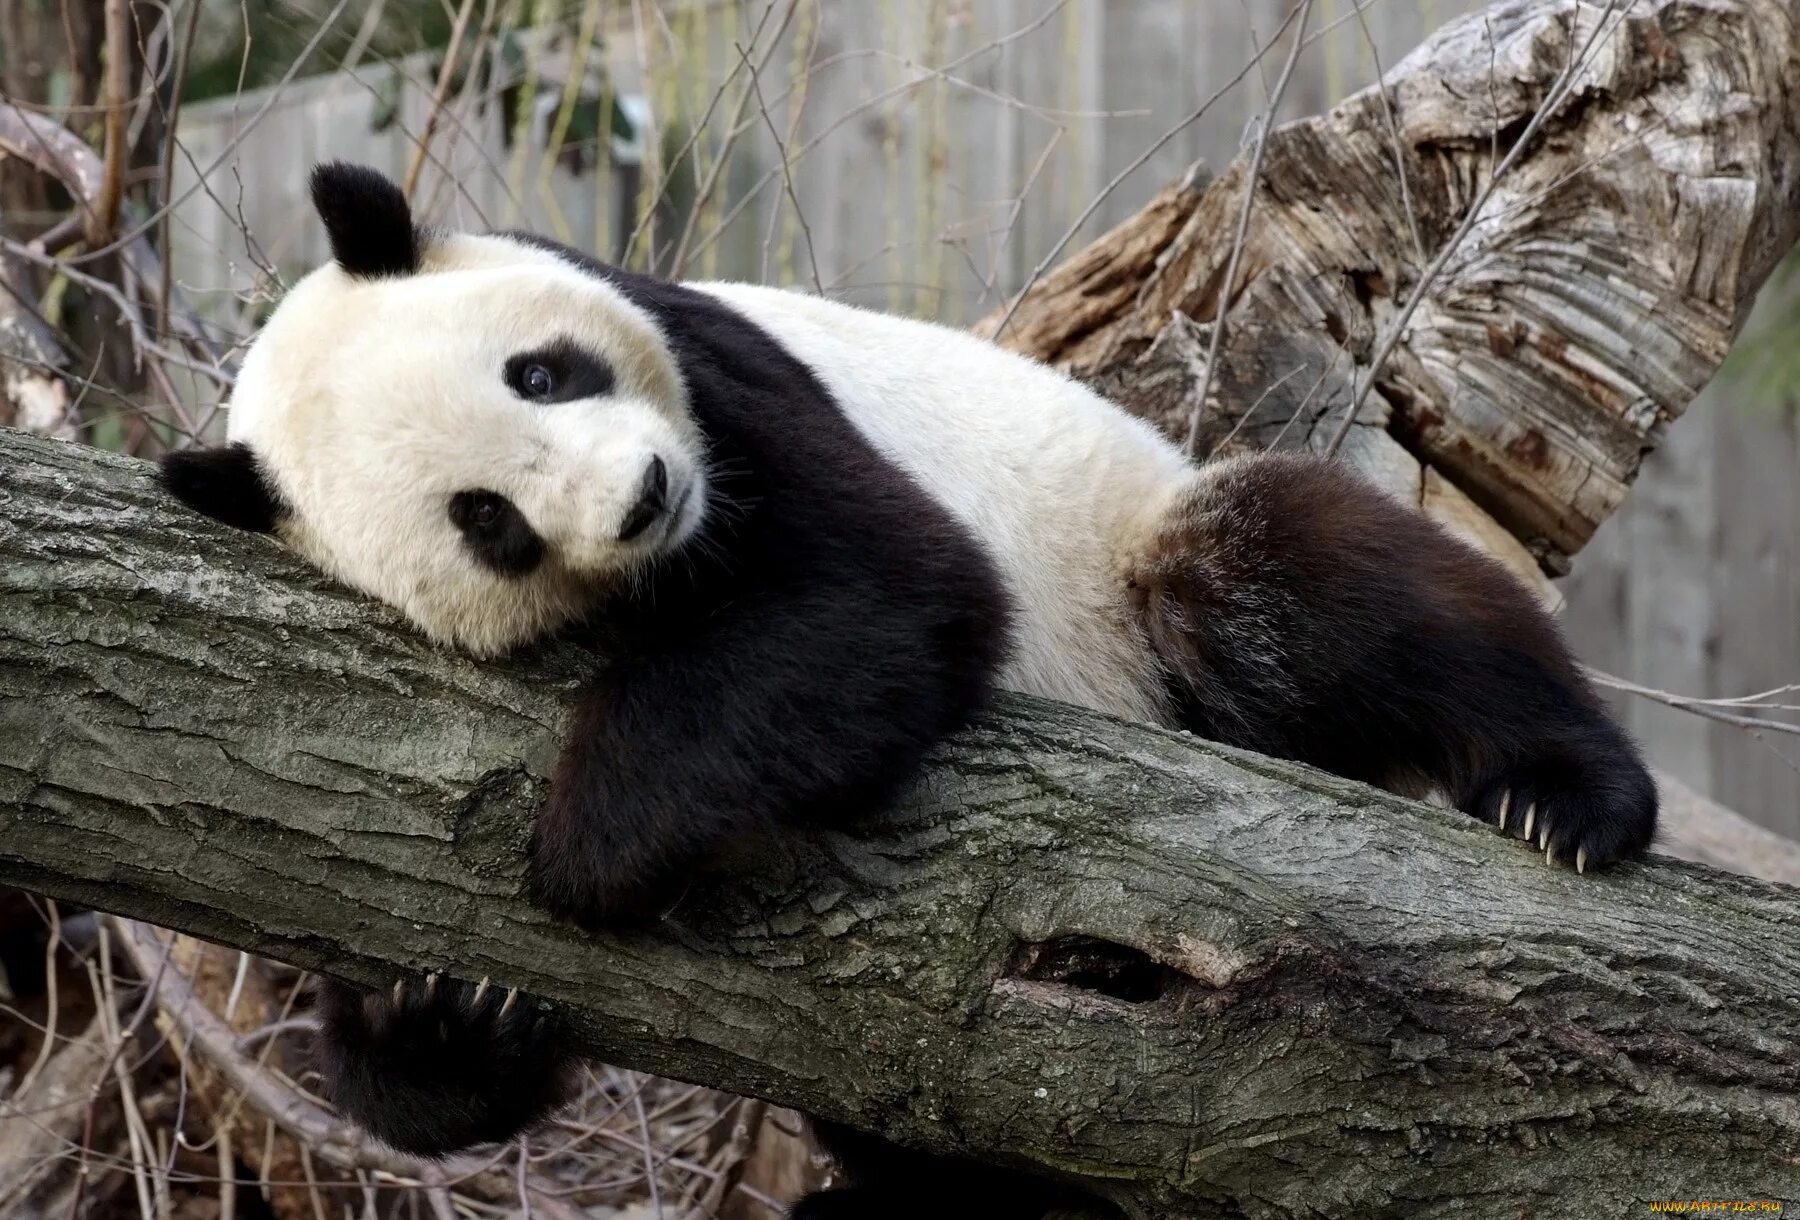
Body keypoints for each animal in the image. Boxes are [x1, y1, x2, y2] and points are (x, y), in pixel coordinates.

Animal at [158, 164, 1656, 1220]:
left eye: (543, 371)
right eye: (487, 520)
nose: (646, 497)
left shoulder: (717, 373)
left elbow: (885, 592)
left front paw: (586, 842)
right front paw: (443, 1017)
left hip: (1133, 566)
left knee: (1302, 580)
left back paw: (1568, 798)